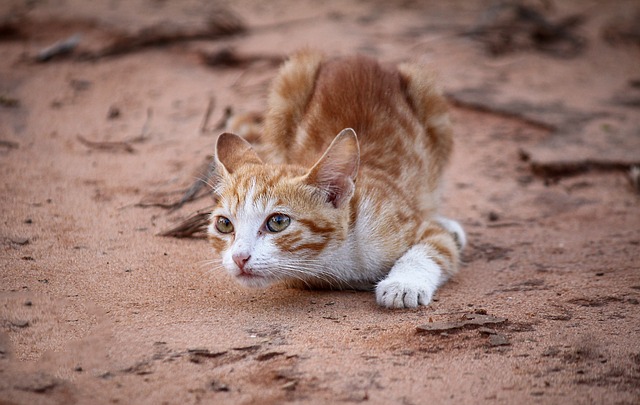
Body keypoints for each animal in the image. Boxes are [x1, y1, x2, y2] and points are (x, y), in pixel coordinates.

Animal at [209, 51, 464, 310]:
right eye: (224, 224)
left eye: (278, 222)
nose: (239, 257)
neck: (339, 257)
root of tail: (355, 57)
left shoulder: (412, 224)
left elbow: (434, 247)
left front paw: (402, 285)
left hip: (429, 101)